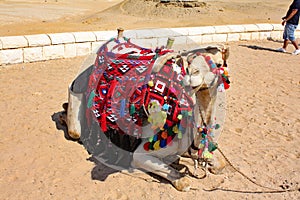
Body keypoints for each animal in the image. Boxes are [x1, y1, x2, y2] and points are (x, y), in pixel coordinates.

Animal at [59, 29, 231, 191]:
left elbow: (219, 164)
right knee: (75, 128)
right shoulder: (142, 153)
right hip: (78, 96)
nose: (191, 78)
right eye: (189, 62)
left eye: (218, 64)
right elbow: (181, 179)